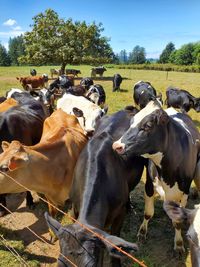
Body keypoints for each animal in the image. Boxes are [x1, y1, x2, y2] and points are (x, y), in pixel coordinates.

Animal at [112, 100, 200, 253]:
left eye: (147, 126)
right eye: (131, 122)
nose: (117, 145)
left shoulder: (184, 192)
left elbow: (177, 221)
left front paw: (179, 244)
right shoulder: (149, 184)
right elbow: (148, 213)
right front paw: (142, 233)